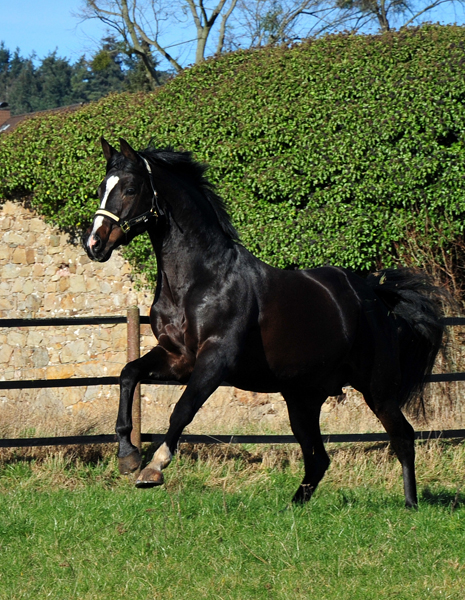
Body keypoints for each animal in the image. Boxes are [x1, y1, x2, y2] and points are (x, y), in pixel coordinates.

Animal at [82, 137, 442, 506]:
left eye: (130, 189)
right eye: (101, 188)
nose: (94, 244)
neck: (200, 280)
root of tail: (374, 295)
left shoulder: (215, 360)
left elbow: (183, 409)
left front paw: (153, 468)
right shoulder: (177, 358)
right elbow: (128, 375)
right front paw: (127, 455)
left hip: (377, 390)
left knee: (403, 437)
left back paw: (410, 505)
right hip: (302, 399)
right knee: (318, 458)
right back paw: (295, 506)